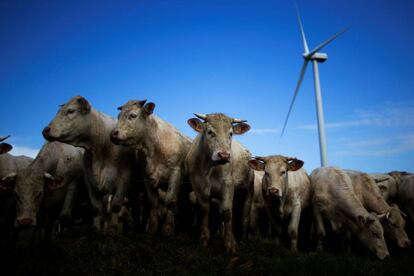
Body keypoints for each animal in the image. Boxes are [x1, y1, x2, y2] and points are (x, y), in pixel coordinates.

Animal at [42, 96, 140, 231]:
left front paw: (113, 231)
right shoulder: (90, 181)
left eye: (71, 111)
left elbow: (115, 207)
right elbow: (96, 208)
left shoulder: (124, 180)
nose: (45, 130)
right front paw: (97, 231)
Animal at [111, 100, 193, 236]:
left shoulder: (176, 173)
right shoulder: (146, 176)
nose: (113, 134)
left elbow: (170, 200)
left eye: (133, 115)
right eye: (118, 116)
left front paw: (167, 228)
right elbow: (153, 202)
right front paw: (153, 228)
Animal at [187, 111, 252, 252]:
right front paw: (204, 240)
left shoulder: (228, 185)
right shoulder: (198, 187)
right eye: (210, 132)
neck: (209, 168)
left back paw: (242, 240)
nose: (224, 155)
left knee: (243, 216)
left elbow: (226, 212)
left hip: (248, 189)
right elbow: (205, 210)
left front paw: (230, 244)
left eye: (231, 133)